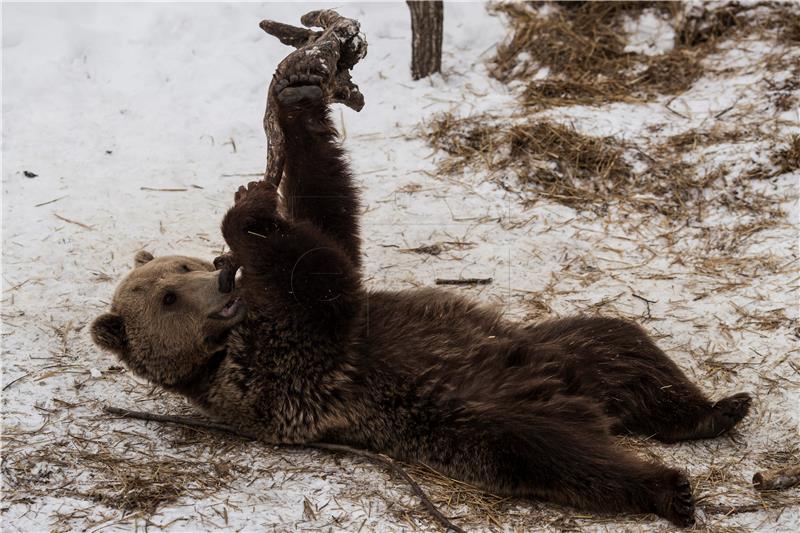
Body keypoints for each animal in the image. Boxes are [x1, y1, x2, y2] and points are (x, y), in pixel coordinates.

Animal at [92, 65, 752, 524]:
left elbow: (331, 226)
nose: (221, 279)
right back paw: (669, 489)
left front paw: (296, 99)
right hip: (481, 419)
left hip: (556, 348)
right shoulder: (277, 373)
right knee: (568, 456)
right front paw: (246, 212)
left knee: (623, 345)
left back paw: (716, 409)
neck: (225, 345)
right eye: (167, 297)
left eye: (184, 264)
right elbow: (324, 284)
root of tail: (573, 393)